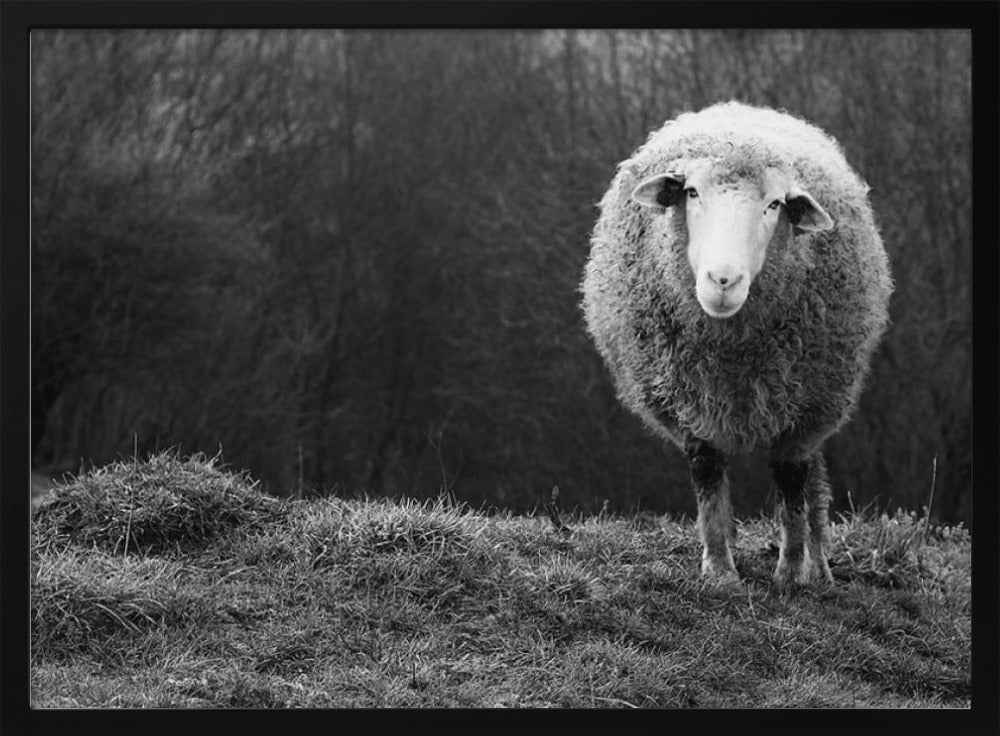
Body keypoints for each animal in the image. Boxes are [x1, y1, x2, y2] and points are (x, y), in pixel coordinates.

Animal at [582, 101, 892, 586]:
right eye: (691, 192)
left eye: (774, 204)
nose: (722, 280)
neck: (732, 353)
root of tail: (740, 108)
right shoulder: (689, 400)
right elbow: (708, 474)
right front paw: (719, 569)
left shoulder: (804, 408)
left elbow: (791, 482)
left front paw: (791, 572)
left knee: (813, 482)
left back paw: (819, 566)